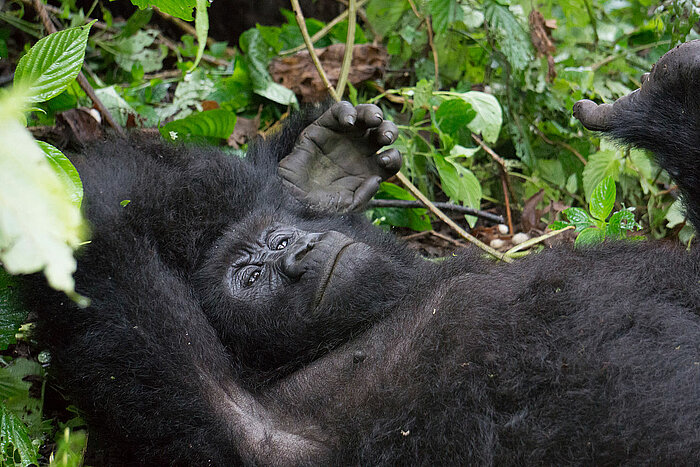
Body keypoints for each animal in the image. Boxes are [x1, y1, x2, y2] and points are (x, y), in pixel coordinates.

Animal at [27, 40, 700, 464]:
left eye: (277, 242)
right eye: (250, 276)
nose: (297, 252)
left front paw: (306, 178)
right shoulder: (257, 434)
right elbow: (96, 246)